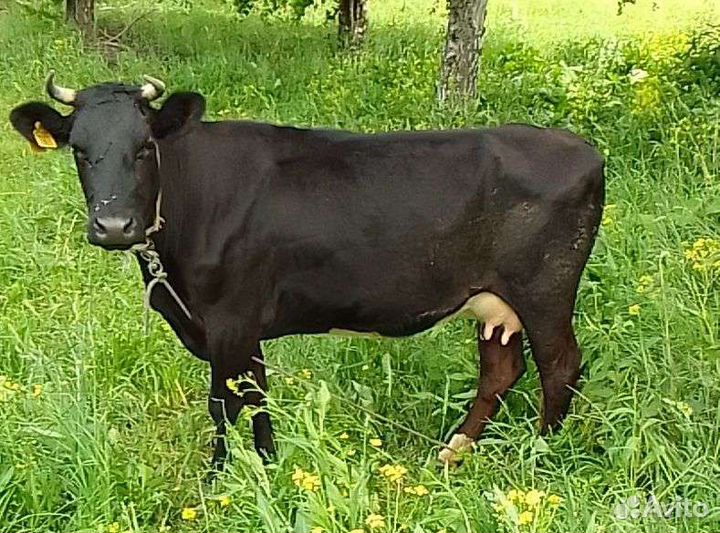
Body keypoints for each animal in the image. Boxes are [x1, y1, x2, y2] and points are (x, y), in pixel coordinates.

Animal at [9, 73, 605, 469]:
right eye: (79, 150)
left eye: (143, 146)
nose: (113, 225)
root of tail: (581, 147)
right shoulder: (238, 326)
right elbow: (255, 396)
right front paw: (269, 467)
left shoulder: (230, 318)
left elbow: (224, 403)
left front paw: (221, 479)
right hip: (492, 300)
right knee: (502, 369)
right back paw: (453, 455)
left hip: (545, 288)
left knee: (560, 366)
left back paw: (538, 456)